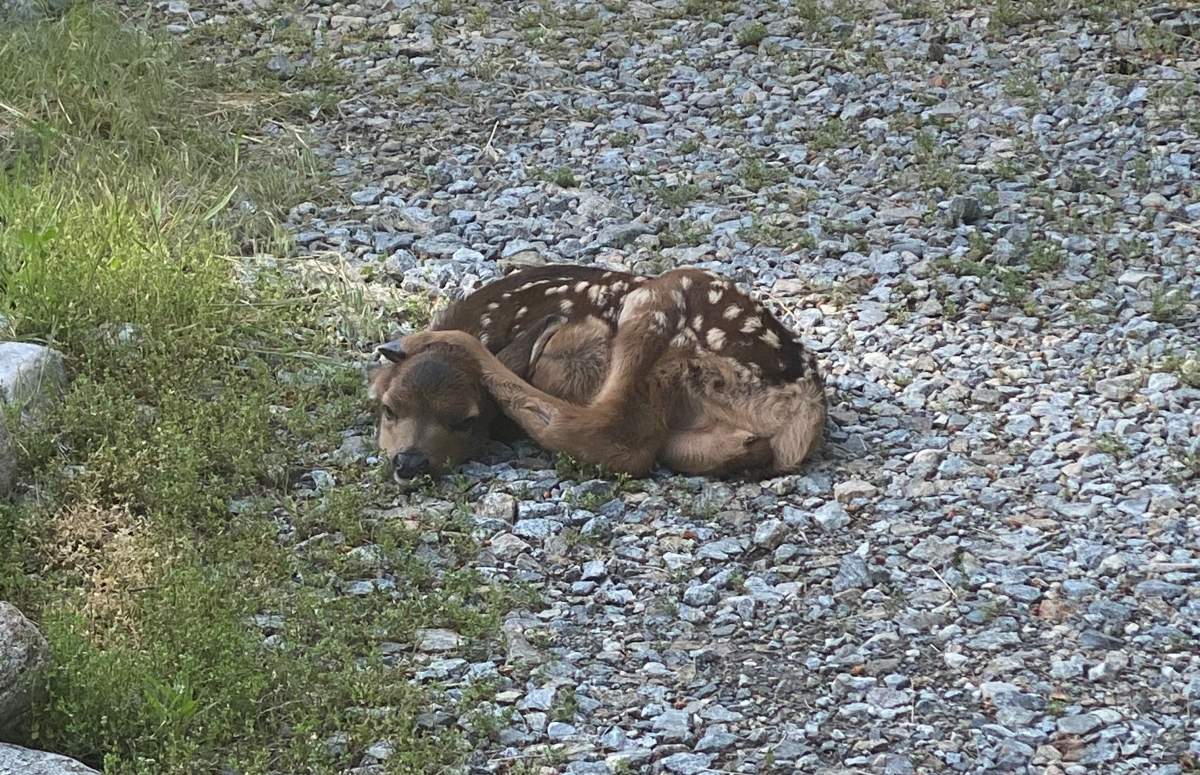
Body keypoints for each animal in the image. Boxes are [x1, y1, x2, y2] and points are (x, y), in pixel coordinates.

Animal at [366, 264, 827, 482]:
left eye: (466, 421)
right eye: (389, 410)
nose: (410, 462)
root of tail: (806, 402)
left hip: (663, 297)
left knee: (610, 434)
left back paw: (423, 339)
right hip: (689, 437)